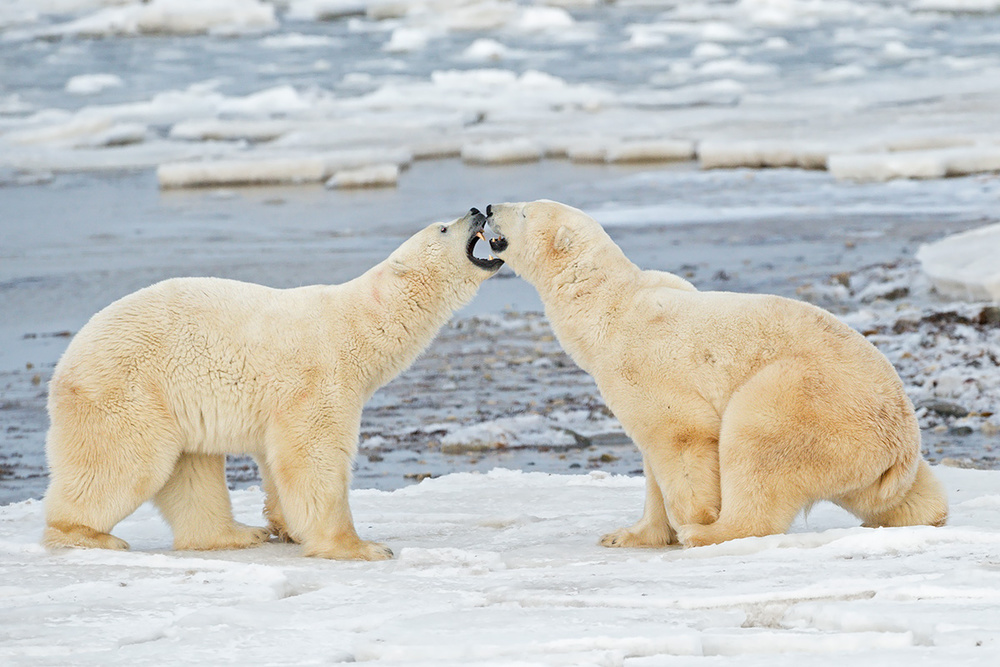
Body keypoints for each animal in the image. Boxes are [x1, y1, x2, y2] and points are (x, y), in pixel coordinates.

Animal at [43, 207, 504, 560]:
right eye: (442, 227)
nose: (476, 210)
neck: (358, 325)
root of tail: (67, 361)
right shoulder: (320, 379)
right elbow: (314, 455)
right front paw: (362, 546)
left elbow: (276, 459)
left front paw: (286, 527)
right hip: (129, 391)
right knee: (125, 463)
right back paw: (87, 535)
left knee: (192, 469)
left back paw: (238, 533)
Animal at [488, 201, 948, 552]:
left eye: (524, 211)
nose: (489, 208)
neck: (608, 307)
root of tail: (898, 444)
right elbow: (651, 464)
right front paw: (625, 535)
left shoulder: (643, 364)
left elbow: (680, 435)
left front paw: (692, 517)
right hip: (874, 458)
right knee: (902, 495)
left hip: (811, 402)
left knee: (756, 445)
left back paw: (708, 533)